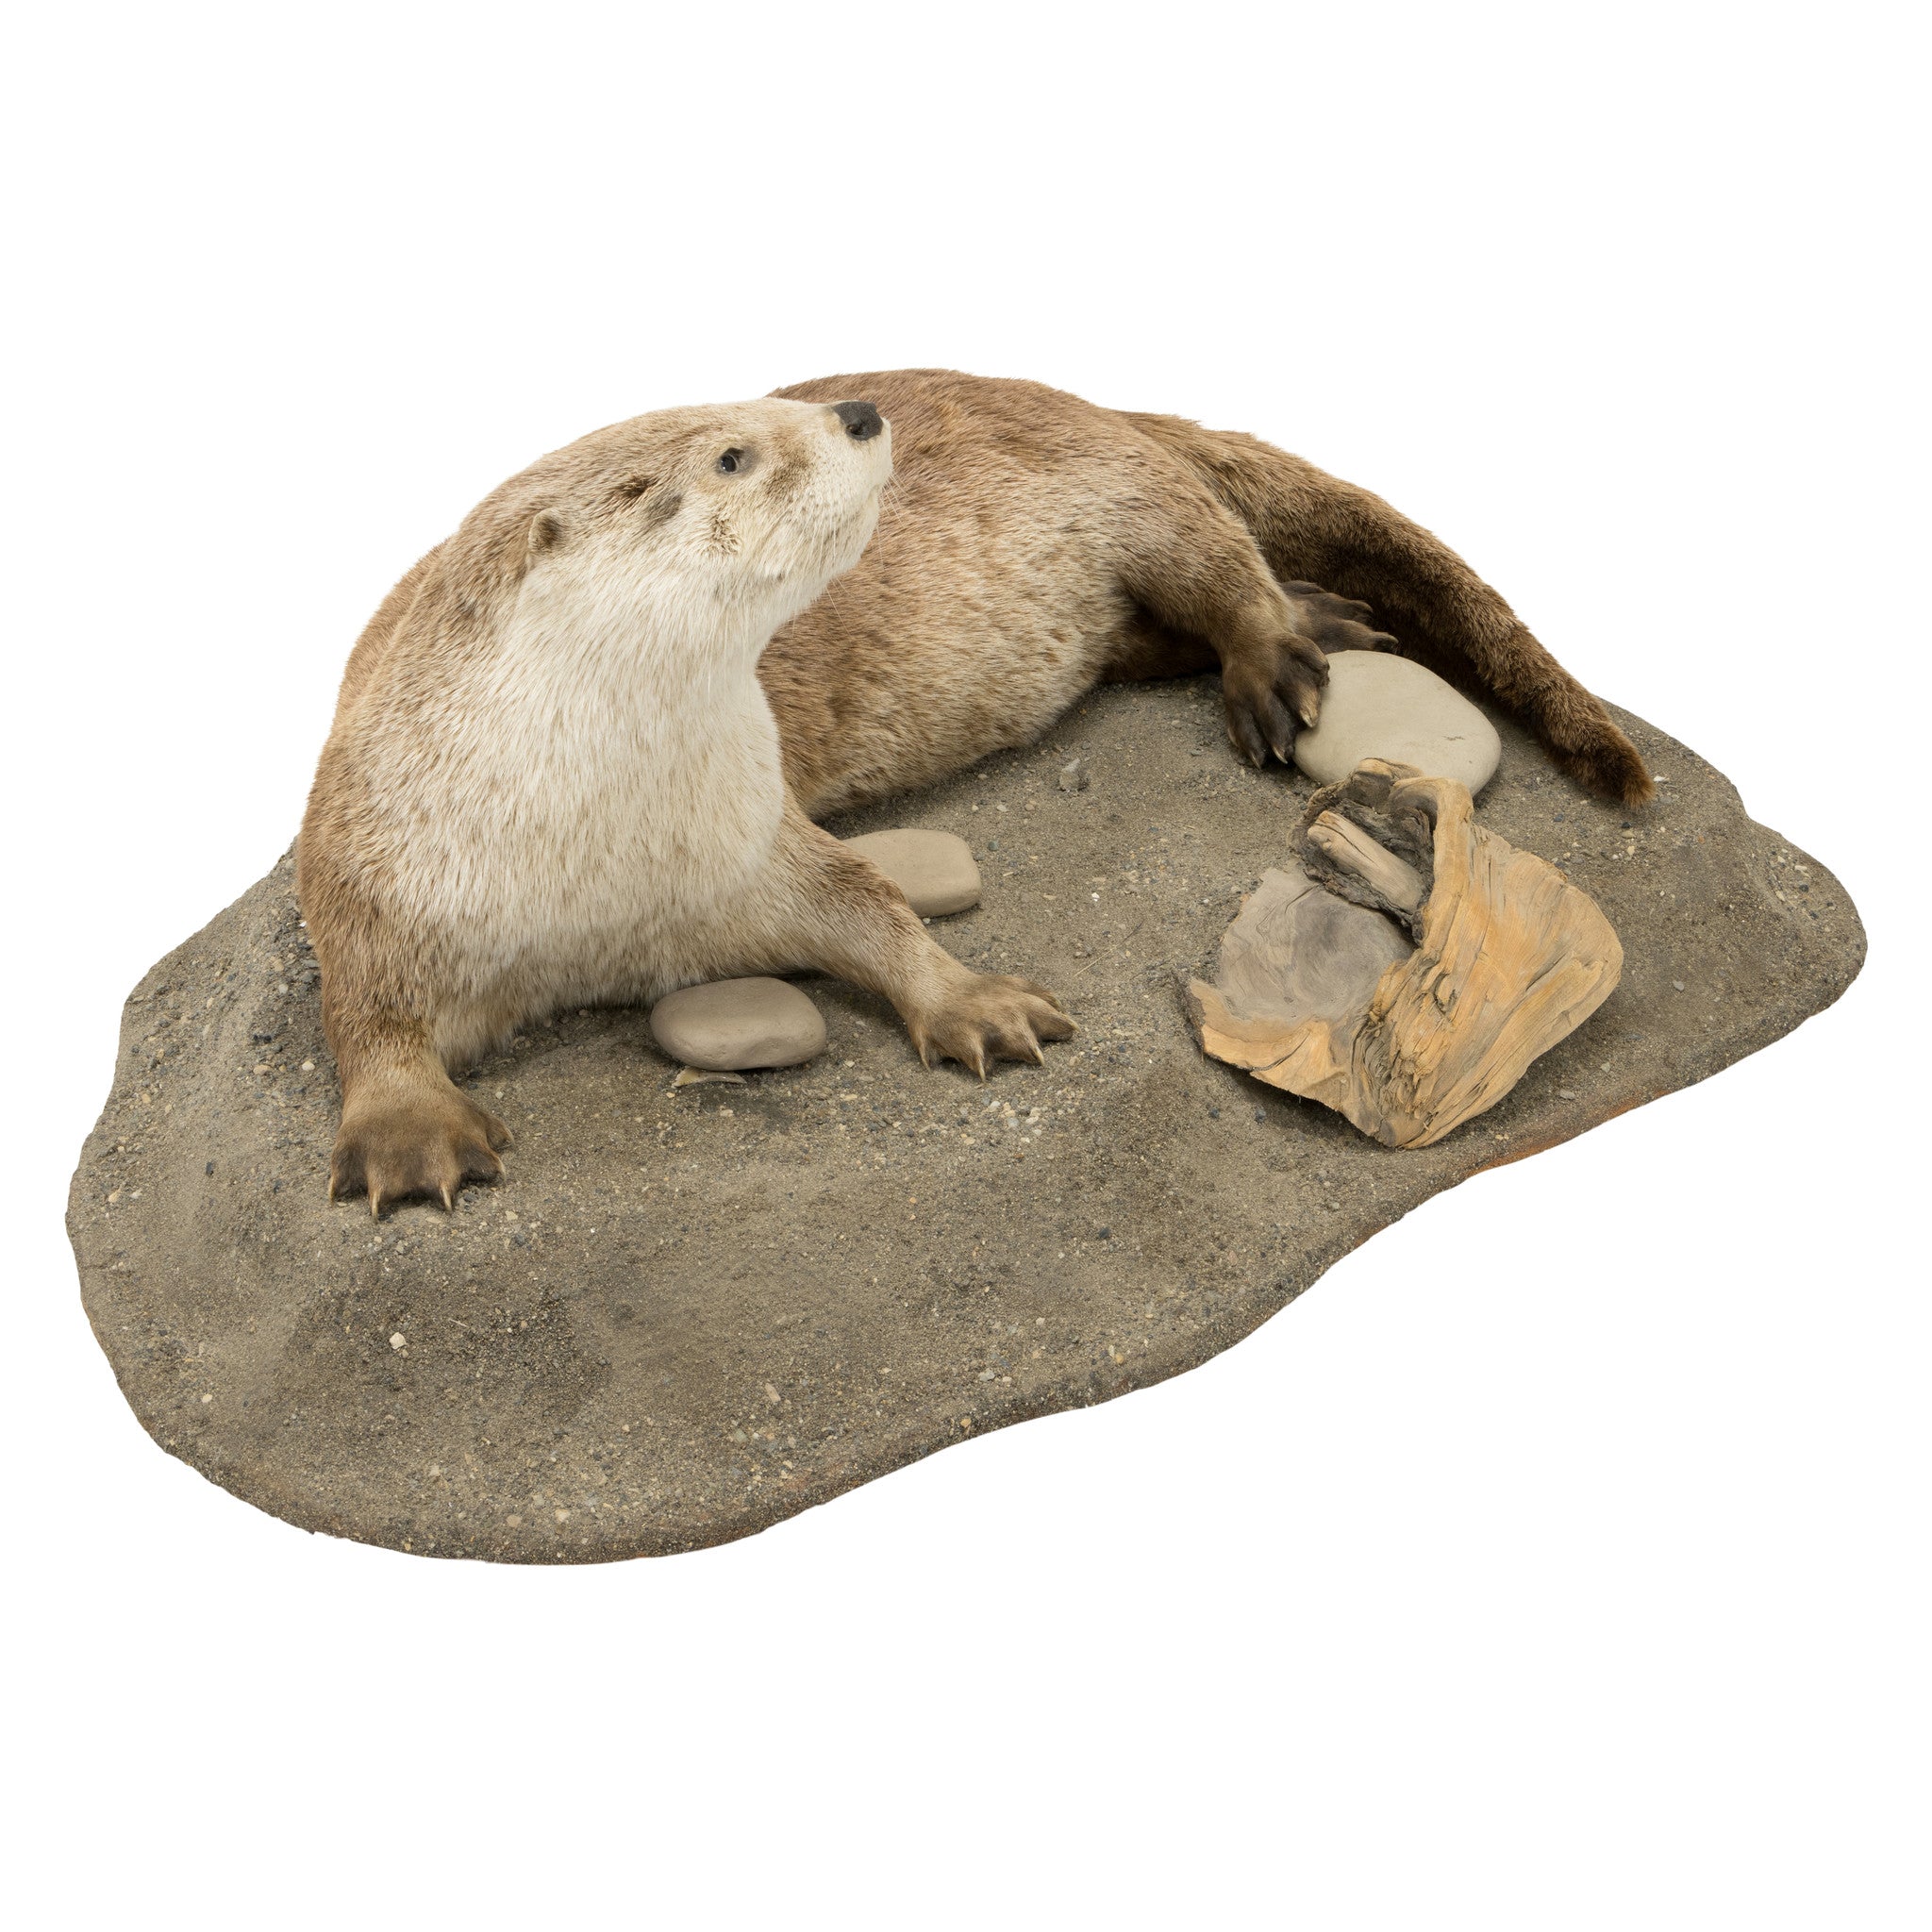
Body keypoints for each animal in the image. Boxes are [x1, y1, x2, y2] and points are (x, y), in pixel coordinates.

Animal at [300, 370, 1649, 1211]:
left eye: (768, 407)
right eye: (735, 451)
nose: (854, 411)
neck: (594, 869)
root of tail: (1076, 395)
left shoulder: (755, 836)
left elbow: (867, 904)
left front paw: (978, 1003)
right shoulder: (367, 862)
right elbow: (361, 1008)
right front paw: (408, 1132)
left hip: (1124, 485)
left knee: (1222, 563)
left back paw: (1286, 652)